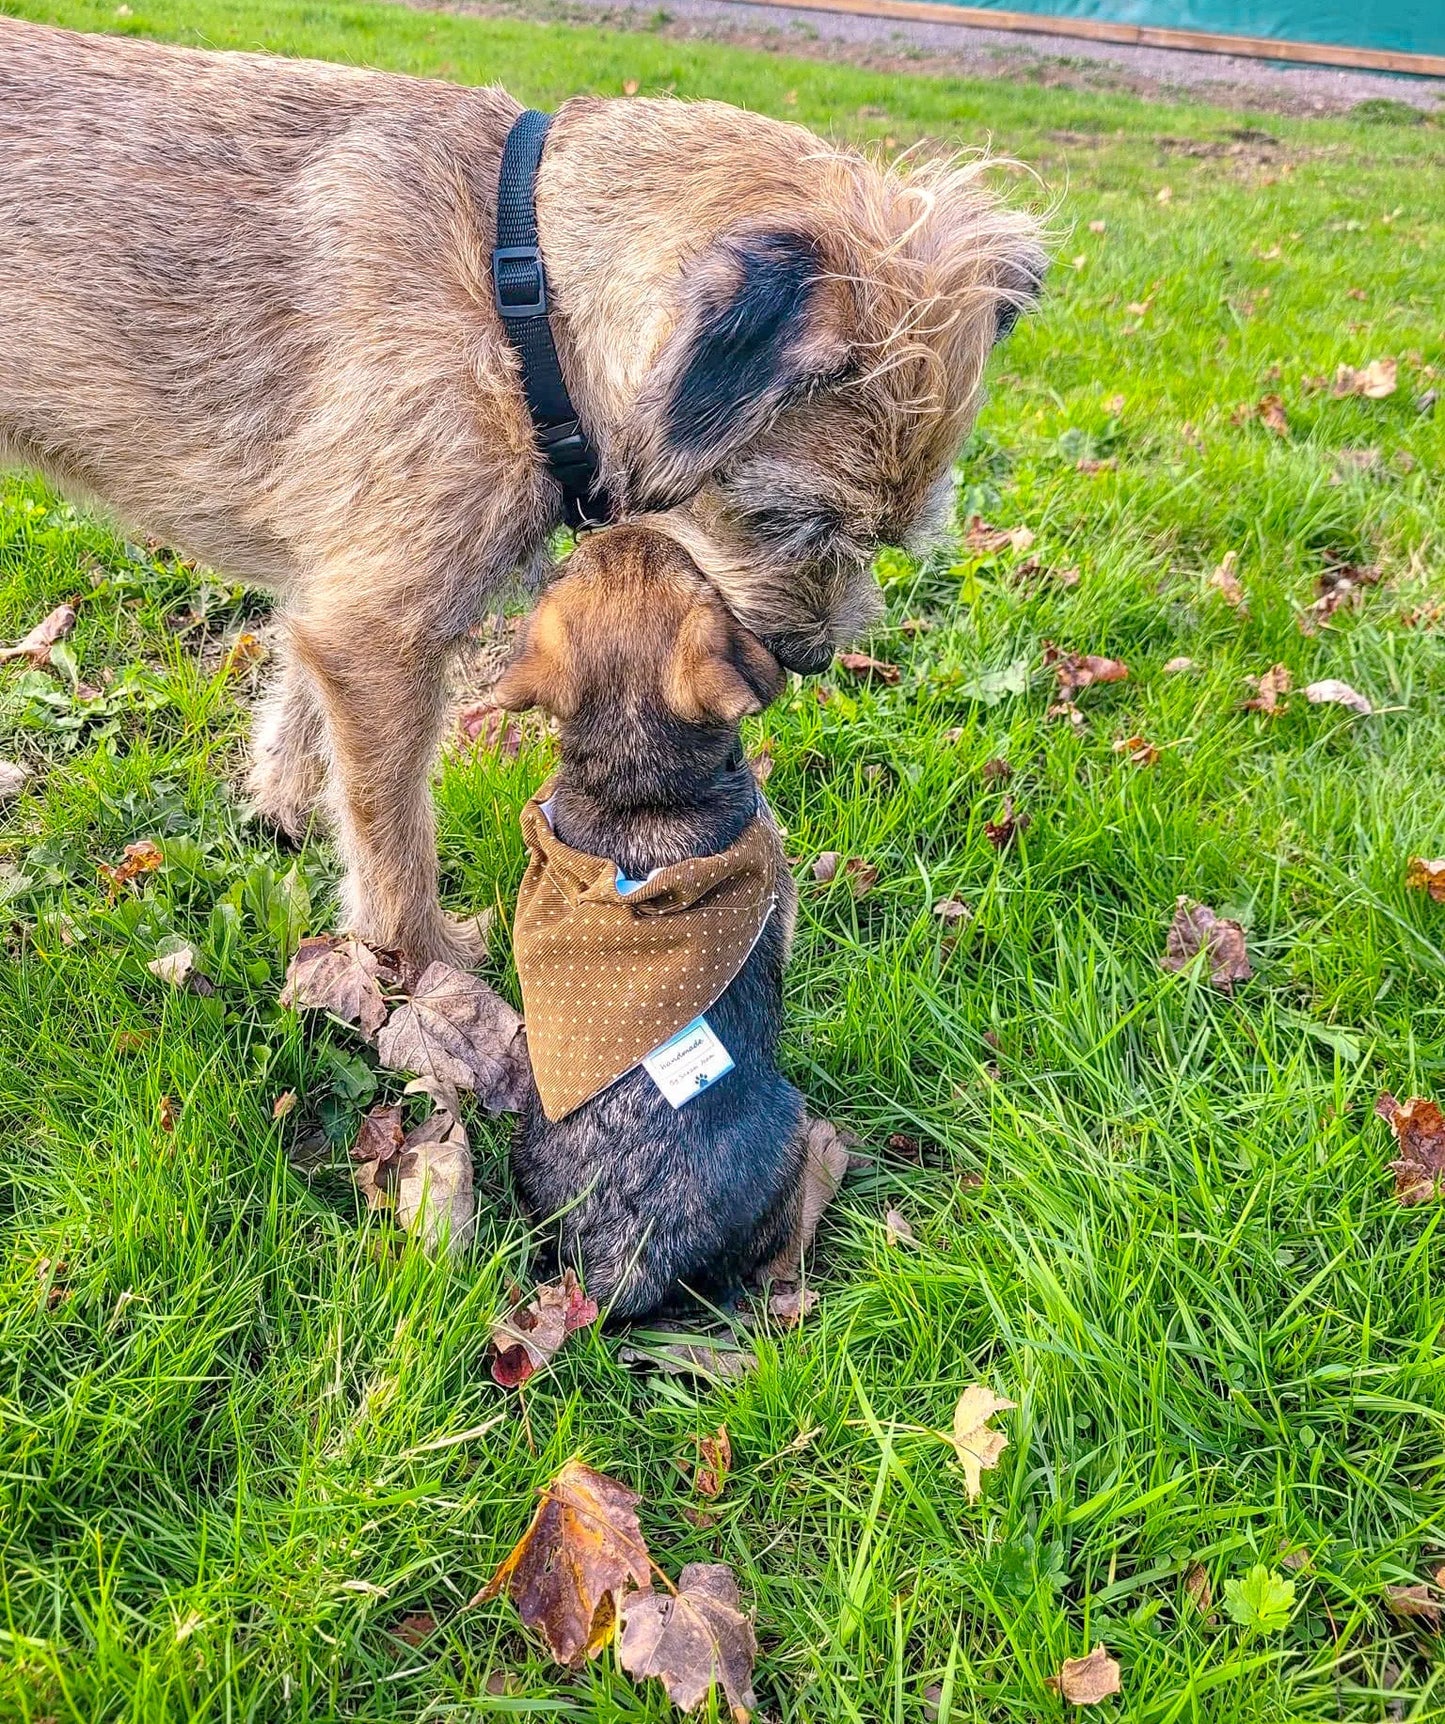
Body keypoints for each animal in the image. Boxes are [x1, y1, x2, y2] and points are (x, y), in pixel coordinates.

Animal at [0, 20, 1048, 972]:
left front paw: (282, 806)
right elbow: (393, 828)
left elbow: (301, 710)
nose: (811, 658)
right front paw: (421, 961)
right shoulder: (379, 639)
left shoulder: (338, 589)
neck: (523, 291)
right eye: (788, 520)